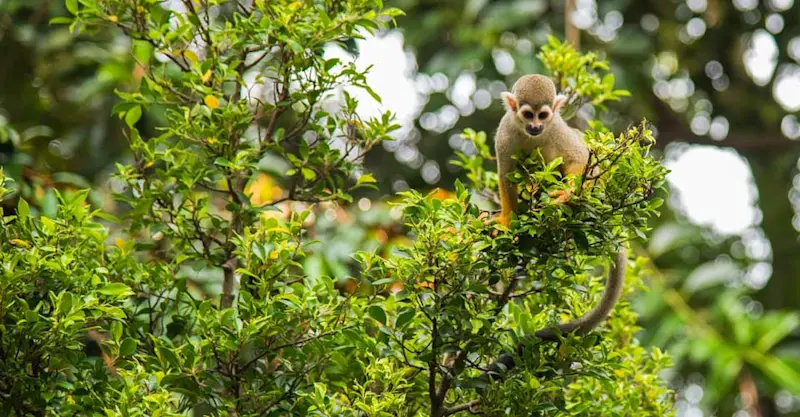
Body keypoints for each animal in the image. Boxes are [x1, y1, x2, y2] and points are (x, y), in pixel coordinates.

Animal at [492, 74, 626, 341]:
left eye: (542, 115)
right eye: (527, 114)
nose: (535, 127)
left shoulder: (556, 127)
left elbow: (579, 157)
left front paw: (567, 193)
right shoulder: (505, 131)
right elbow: (505, 174)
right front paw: (507, 220)